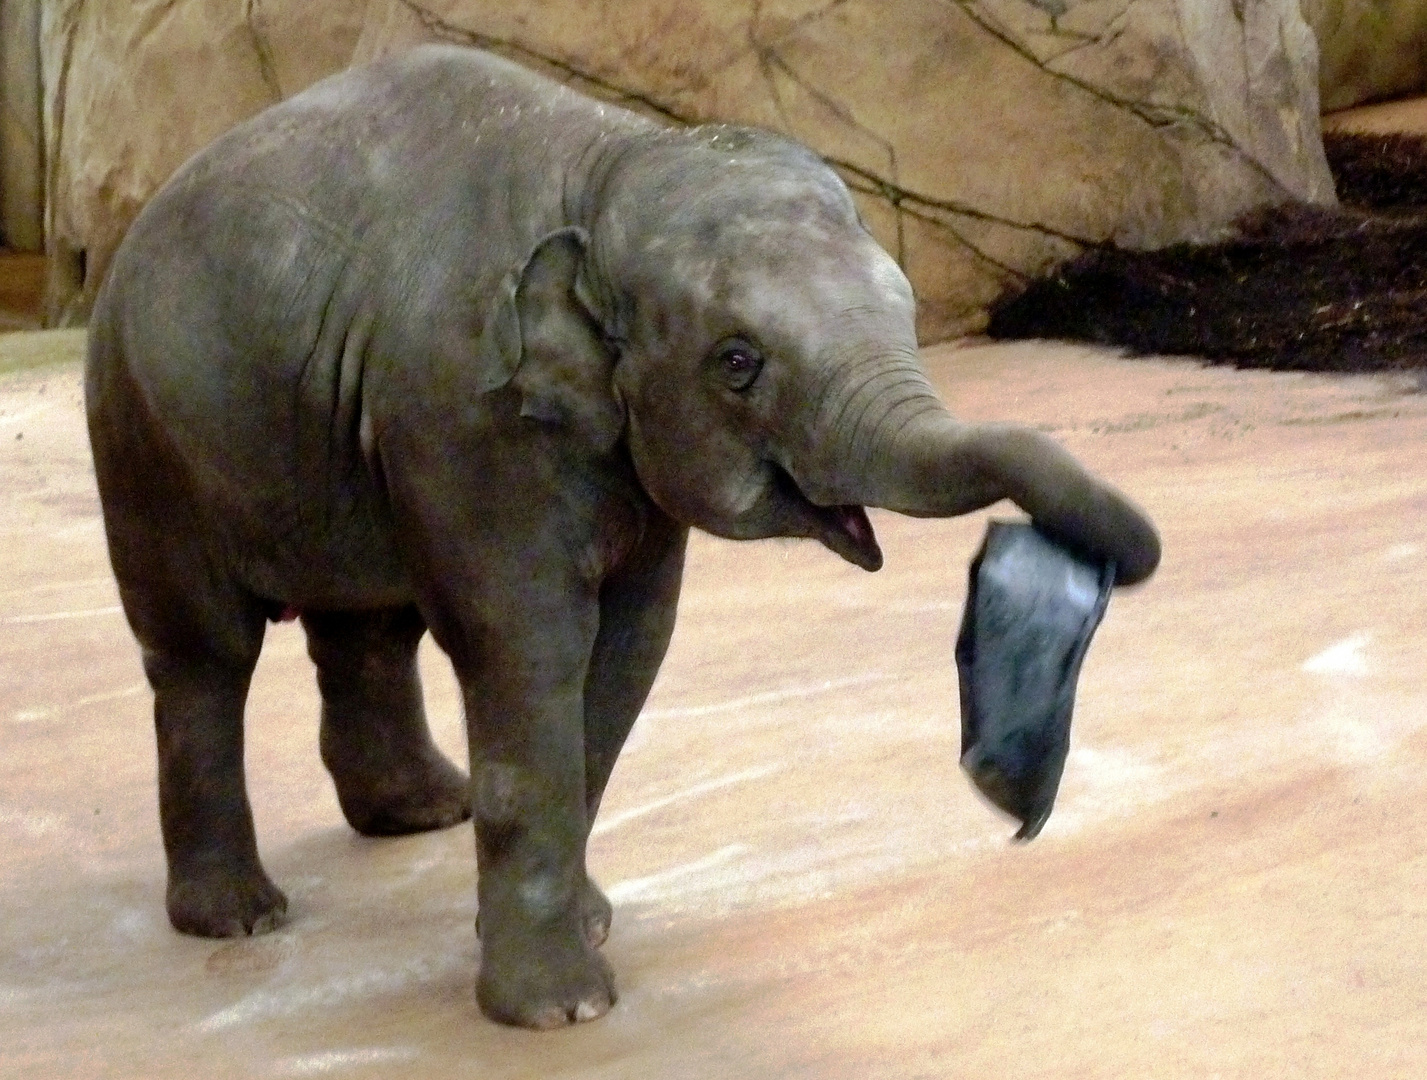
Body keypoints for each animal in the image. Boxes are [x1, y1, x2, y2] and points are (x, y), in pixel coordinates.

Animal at [83, 44, 1158, 1027]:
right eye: (737, 362)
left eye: (905, 306)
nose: (1009, 802)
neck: (610, 165)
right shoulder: (467, 417)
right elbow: (531, 651)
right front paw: (562, 1010)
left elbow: (630, 648)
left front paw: (584, 926)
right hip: (139, 435)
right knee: (205, 653)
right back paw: (240, 917)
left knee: (367, 627)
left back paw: (421, 816)